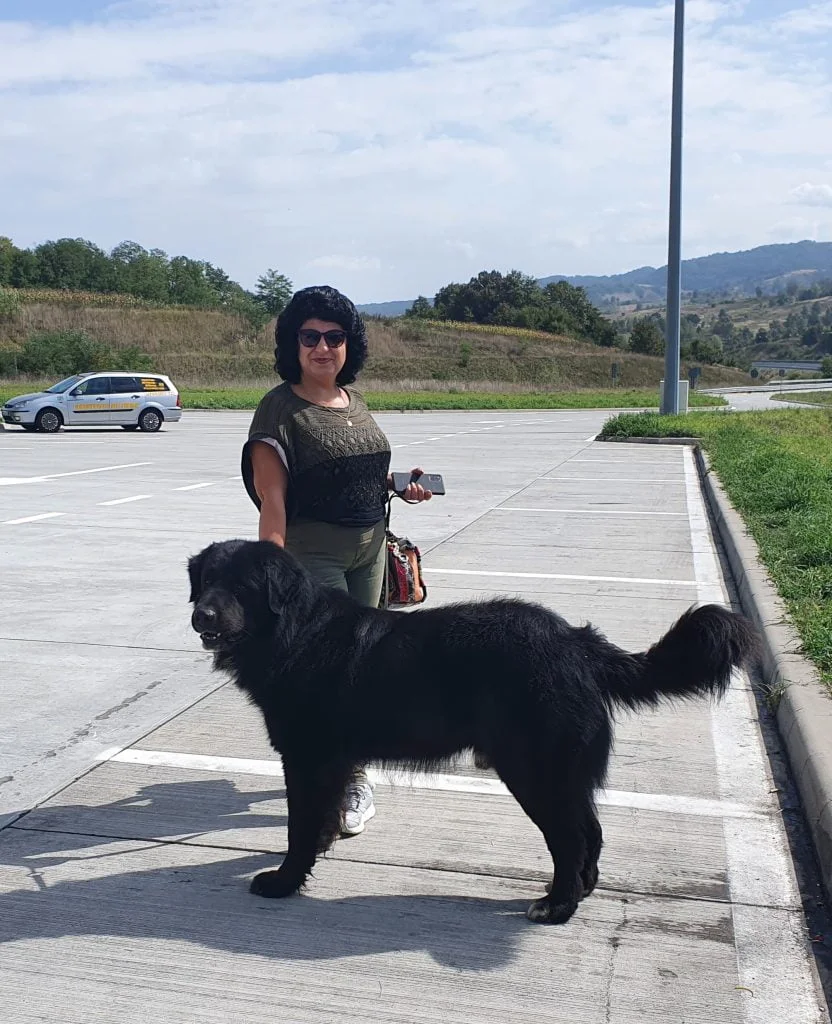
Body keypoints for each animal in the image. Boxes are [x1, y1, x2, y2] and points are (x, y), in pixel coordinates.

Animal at [188, 539, 757, 925]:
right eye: (206, 581)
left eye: (242, 588)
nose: (201, 615)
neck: (296, 632)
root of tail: (575, 642)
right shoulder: (332, 761)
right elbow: (321, 819)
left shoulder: (308, 757)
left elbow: (299, 826)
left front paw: (285, 881)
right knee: (591, 831)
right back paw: (582, 891)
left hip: (534, 770)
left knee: (570, 837)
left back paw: (558, 906)